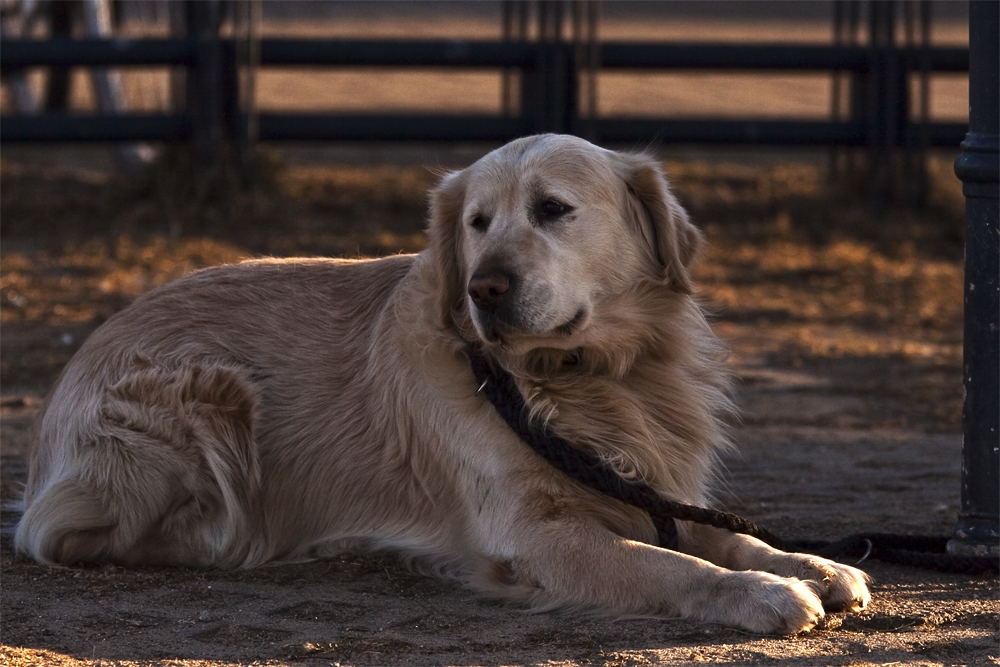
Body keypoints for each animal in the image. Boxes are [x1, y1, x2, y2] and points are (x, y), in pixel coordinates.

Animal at [15, 134, 868, 632]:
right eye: (476, 222)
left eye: (553, 209)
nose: (485, 288)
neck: (586, 380)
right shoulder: (532, 532)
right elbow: (668, 563)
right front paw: (758, 592)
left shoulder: (648, 489)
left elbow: (729, 534)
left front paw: (813, 565)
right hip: (205, 398)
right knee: (69, 536)